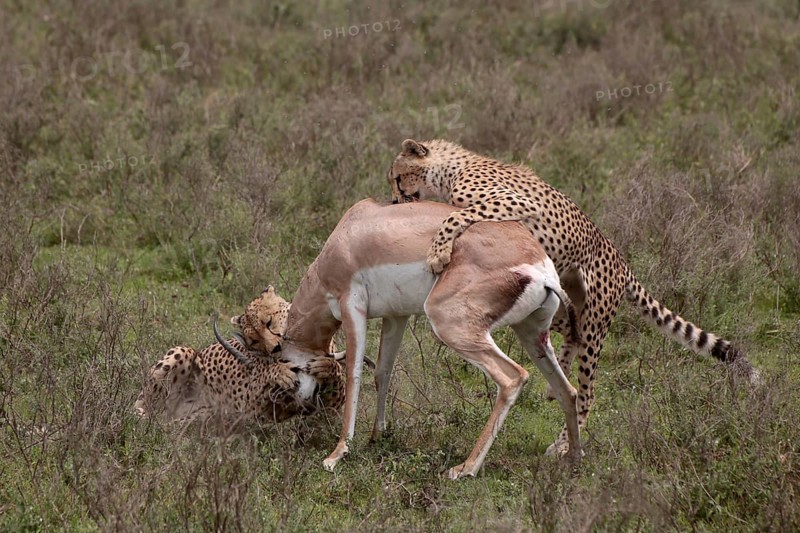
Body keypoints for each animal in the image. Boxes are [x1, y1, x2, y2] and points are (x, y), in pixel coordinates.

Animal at [134, 286, 345, 425]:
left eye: (268, 322)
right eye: (254, 340)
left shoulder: (330, 410)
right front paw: (277, 371)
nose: (275, 347)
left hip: (203, 414)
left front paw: (327, 366)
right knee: (144, 414)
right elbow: (261, 381)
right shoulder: (250, 408)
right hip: (183, 352)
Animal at [279, 199, 582, 479]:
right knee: (567, 390)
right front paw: (377, 436)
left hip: (451, 325)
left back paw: (464, 468)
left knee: (513, 378)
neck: (350, 232)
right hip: (533, 335)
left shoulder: (351, 306)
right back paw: (572, 459)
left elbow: (354, 375)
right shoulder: (395, 317)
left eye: (288, 366)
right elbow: (382, 373)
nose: (299, 411)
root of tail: (542, 269)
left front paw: (337, 454)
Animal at [387, 138, 760, 454]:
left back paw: (564, 443)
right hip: (558, 299)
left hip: (595, 320)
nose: (393, 200)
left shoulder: (516, 202)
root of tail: (621, 262)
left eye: (397, 177)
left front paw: (438, 253)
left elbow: (456, 215)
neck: (452, 169)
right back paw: (557, 378)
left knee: (587, 389)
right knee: (570, 334)